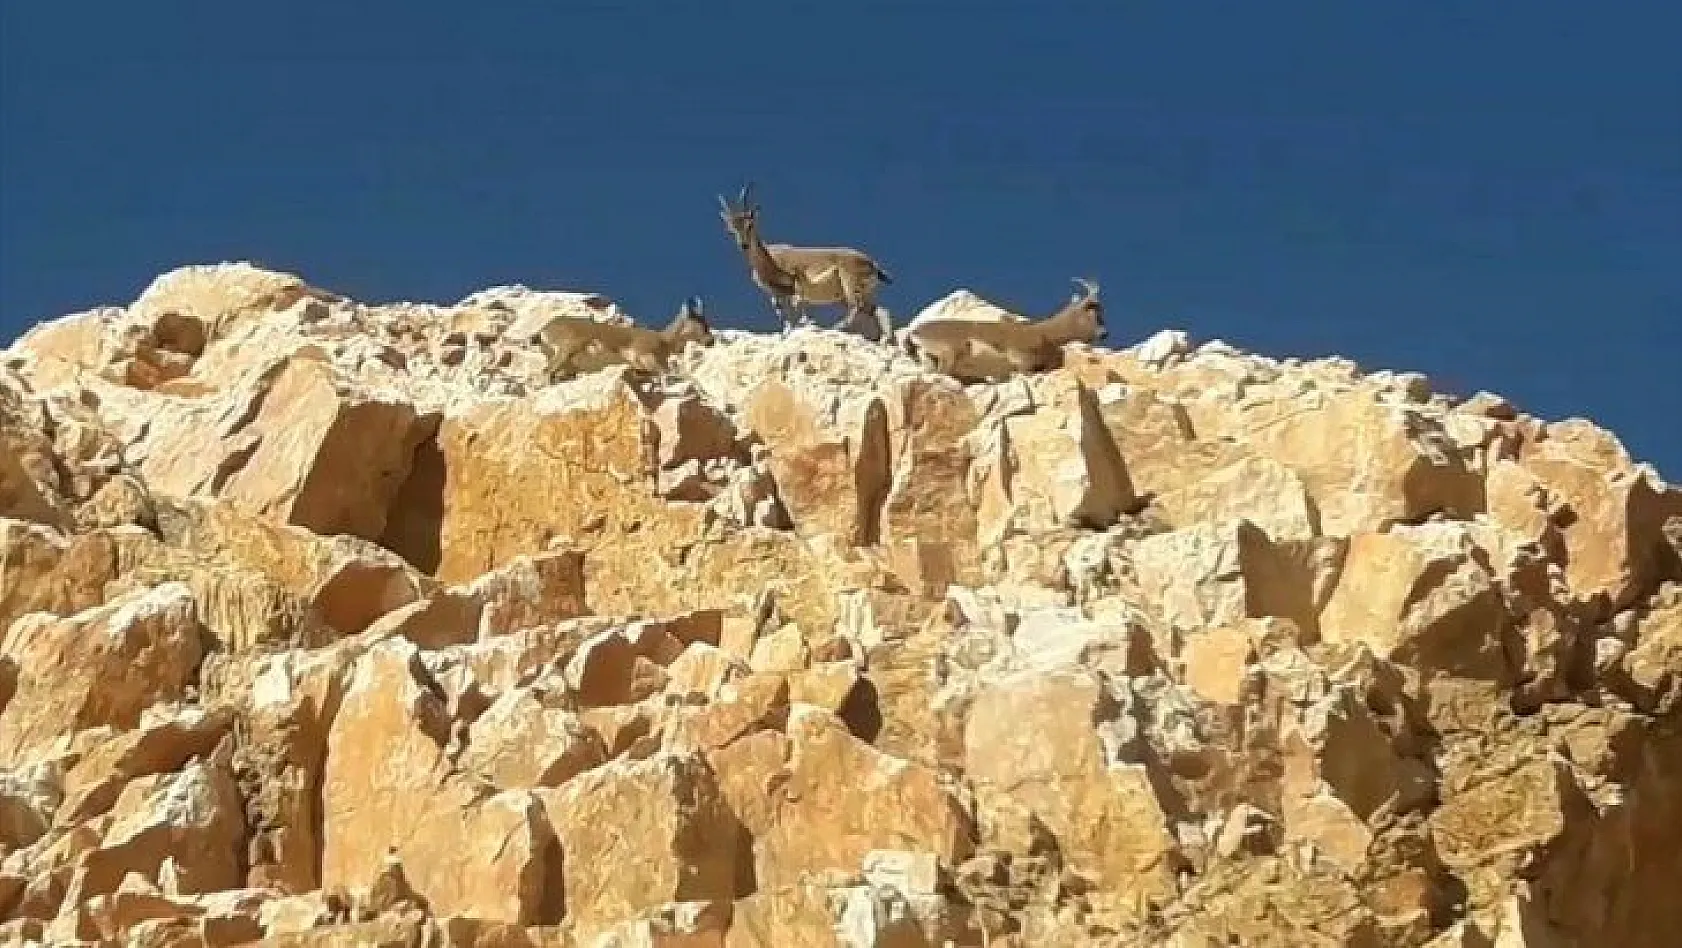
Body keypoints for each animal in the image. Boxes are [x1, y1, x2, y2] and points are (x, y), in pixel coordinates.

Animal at [534, 299, 713, 381]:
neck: (663, 341)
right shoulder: (645, 355)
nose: (710, 341)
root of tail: (545, 329)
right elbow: (667, 372)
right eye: (701, 321)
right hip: (568, 347)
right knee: (547, 371)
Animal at [719, 184, 901, 344]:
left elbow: (799, 303)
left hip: (849, 281)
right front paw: (786, 333)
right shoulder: (776, 293)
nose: (743, 245)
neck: (769, 260)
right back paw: (885, 340)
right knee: (879, 310)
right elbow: (782, 312)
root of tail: (873, 264)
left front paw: (805, 323)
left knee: (856, 307)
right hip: (861, 292)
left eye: (750, 225)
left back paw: (835, 328)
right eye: (731, 229)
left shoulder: (797, 282)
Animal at [908, 275, 1103, 379]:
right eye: (1090, 309)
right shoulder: (1021, 362)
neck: (1043, 334)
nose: (1104, 333)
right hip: (950, 352)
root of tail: (914, 332)